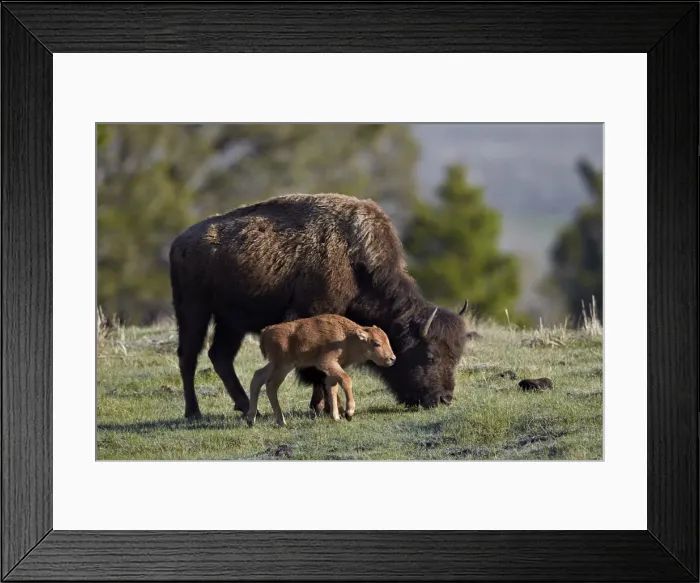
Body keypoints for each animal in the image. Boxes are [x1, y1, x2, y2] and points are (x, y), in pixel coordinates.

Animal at [246, 314, 396, 427]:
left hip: (275, 365)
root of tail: (266, 331)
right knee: (271, 385)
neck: (346, 336)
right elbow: (346, 380)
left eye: (387, 340)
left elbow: (332, 387)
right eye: (376, 343)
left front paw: (336, 417)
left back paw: (251, 420)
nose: (392, 358)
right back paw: (281, 421)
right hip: (283, 366)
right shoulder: (326, 362)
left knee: (257, 377)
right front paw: (349, 413)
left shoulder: (332, 369)